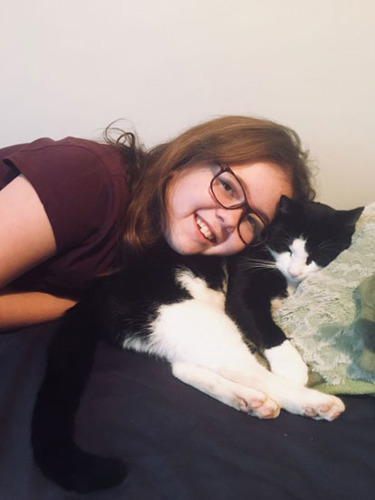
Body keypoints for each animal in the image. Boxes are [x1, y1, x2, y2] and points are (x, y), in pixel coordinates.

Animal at [226, 193, 364, 384]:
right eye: (287, 248)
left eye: (318, 255)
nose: (294, 272)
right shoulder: (245, 273)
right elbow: (257, 317)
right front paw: (291, 367)